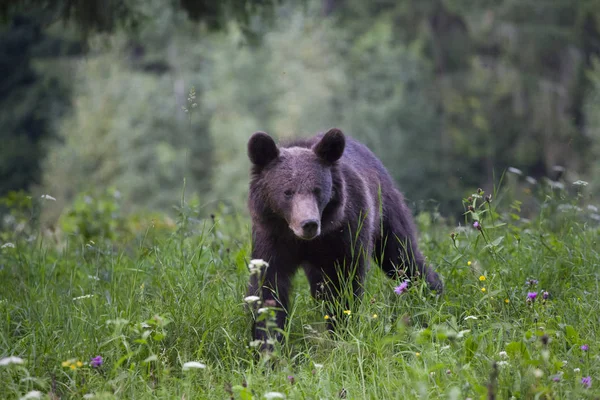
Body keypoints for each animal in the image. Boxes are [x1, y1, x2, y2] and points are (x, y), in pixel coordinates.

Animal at [246, 129, 442, 350]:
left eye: (317, 190)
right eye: (287, 192)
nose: (309, 224)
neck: (305, 242)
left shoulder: (345, 234)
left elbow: (344, 285)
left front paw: (341, 330)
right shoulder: (272, 240)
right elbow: (269, 288)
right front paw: (267, 345)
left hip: (385, 212)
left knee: (402, 257)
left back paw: (433, 293)